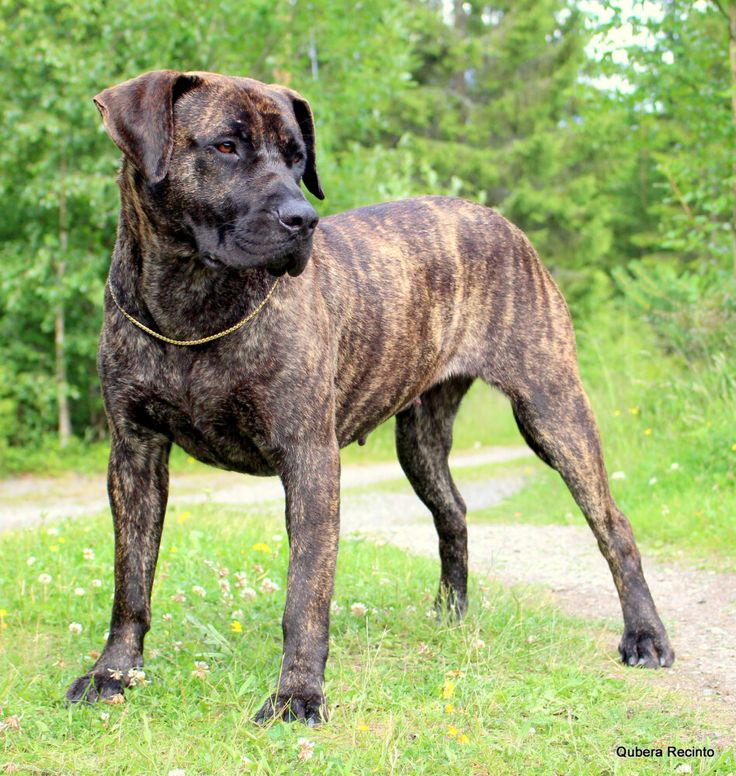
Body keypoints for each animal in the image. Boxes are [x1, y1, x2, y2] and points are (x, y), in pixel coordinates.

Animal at [66, 69, 676, 724]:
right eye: (226, 146)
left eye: (297, 157)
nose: (302, 218)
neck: (190, 307)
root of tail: (502, 222)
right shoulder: (135, 453)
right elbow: (131, 582)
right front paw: (113, 672)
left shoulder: (308, 456)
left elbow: (305, 590)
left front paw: (297, 694)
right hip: (421, 441)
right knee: (453, 512)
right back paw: (450, 615)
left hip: (552, 410)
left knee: (613, 525)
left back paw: (645, 636)